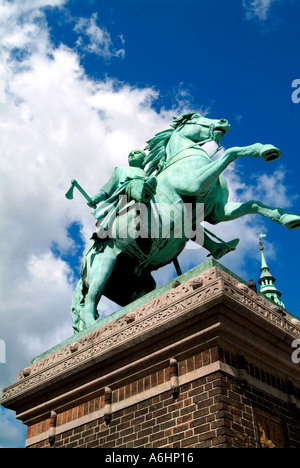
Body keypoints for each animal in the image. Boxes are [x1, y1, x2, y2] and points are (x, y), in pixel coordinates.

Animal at [71, 112, 300, 332]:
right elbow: (232, 151)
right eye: (194, 118)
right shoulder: (195, 182)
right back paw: (91, 329)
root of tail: (85, 262)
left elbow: (254, 204)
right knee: (89, 302)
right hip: (103, 266)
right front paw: (264, 149)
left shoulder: (219, 212)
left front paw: (288, 217)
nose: (223, 121)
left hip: (139, 283)